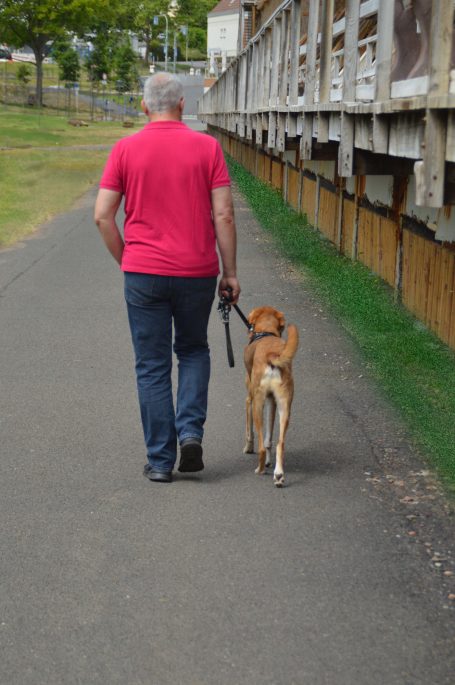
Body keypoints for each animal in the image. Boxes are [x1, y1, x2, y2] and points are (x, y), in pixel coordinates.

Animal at [242, 304, 300, 486]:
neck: (266, 331)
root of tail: (272, 356)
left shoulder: (250, 400)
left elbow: (250, 433)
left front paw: (248, 448)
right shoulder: (272, 403)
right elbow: (269, 438)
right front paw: (269, 461)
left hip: (257, 404)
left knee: (261, 446)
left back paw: (260, 470)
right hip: (284, 406)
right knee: (280, 443)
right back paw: (278, 475)